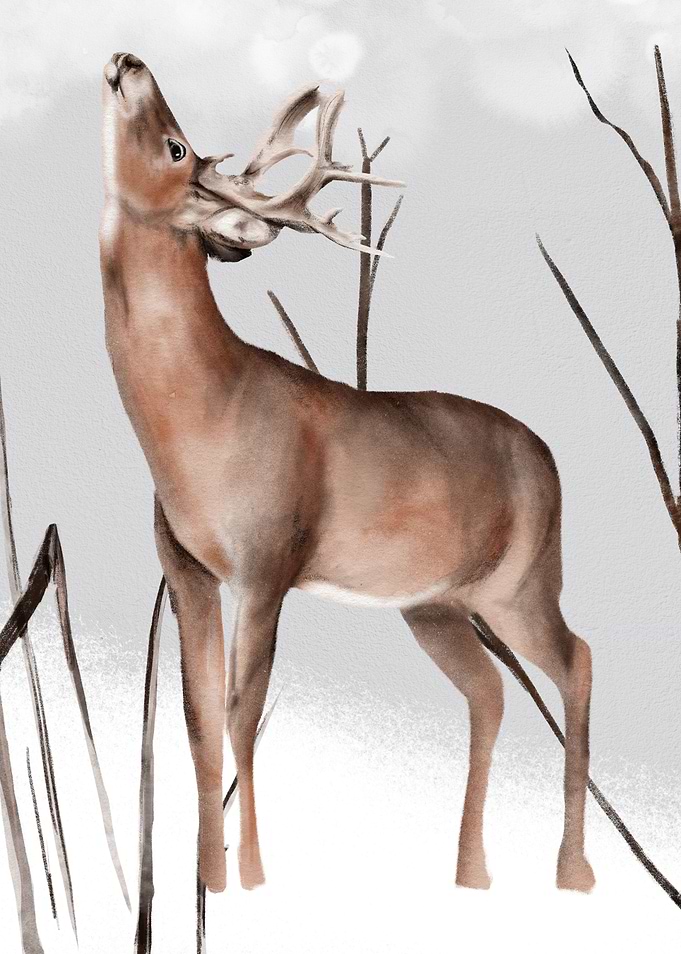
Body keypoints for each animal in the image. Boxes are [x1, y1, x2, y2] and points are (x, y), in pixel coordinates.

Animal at [99, 52, 595, 896]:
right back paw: (470, 875)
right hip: (434, 604)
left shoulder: (268, 560)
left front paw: (254, 877)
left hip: (522, 582)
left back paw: (572, 873)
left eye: (175, 144)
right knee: (489, 690)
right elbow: (197, 719)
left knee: (575, 660)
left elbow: (241, 709)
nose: (129, 60)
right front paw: (210, 882)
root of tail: (547, 455)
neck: (204, 416)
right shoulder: (185, 567)